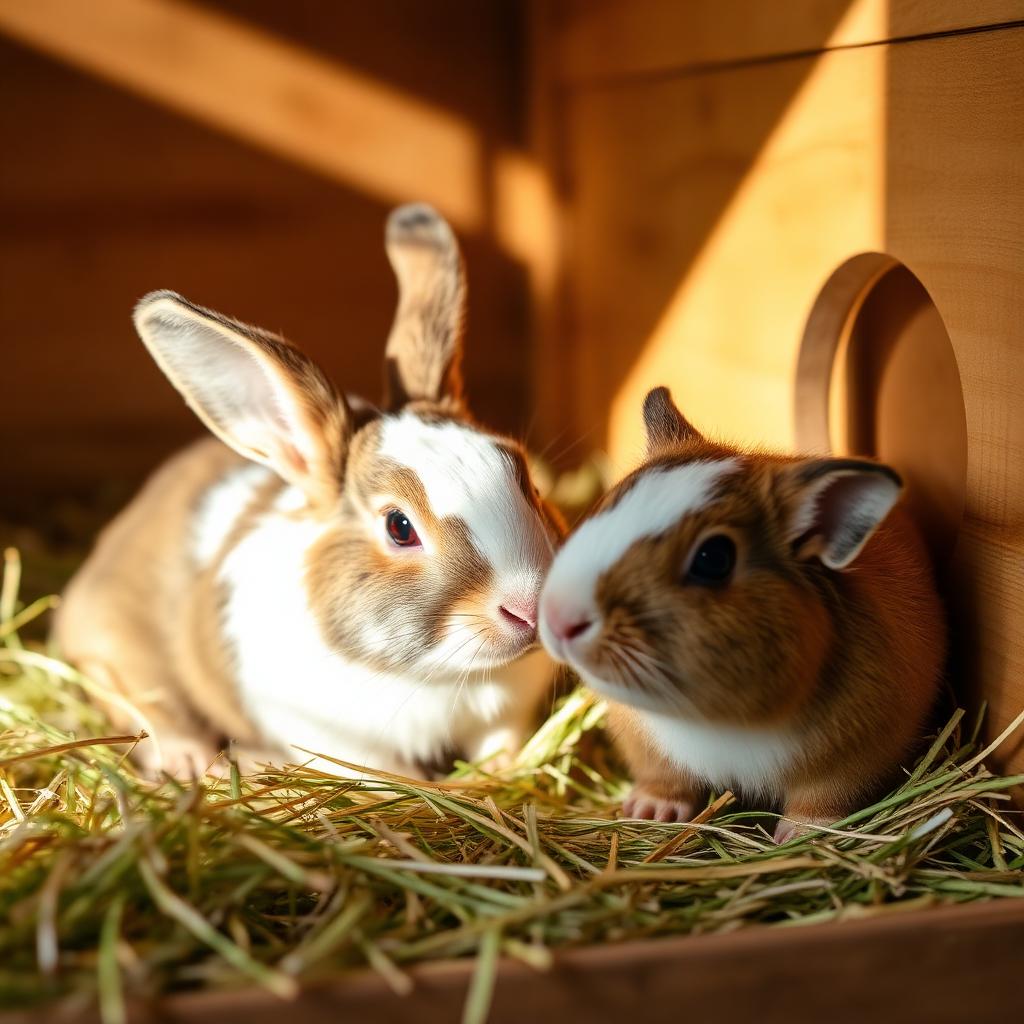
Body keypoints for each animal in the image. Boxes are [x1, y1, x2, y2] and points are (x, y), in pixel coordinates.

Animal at [55, 204, 564, 780]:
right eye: (399, 527)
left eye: (526, 478)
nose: (529, 608)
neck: (446, 678)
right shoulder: (341, 742)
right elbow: (390, 776)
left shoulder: (507, 715)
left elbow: (503, 746)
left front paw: (497, 775)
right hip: (118, 647)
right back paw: (199, 762)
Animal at [538, 386, 946, 842]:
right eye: (611, 504)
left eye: (713, 559)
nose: (558, 618)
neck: (715, 719)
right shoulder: (650, 750)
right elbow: (664, 778)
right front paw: (651, 810)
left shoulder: (851, 758)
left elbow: (822, 800)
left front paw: (802, 834)